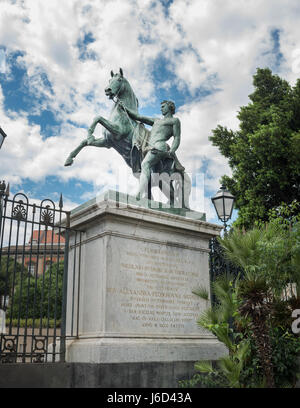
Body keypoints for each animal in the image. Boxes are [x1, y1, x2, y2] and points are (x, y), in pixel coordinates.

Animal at [64, 68, 191, 207]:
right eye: (109, 79)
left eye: (119, 79)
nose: (107, 90)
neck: (122, 114)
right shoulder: (107, 142)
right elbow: (85, 142)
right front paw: (69, 159)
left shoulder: (118, 132)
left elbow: (98, 117)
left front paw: (90, 134)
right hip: (161, 178)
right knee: (170, 194)